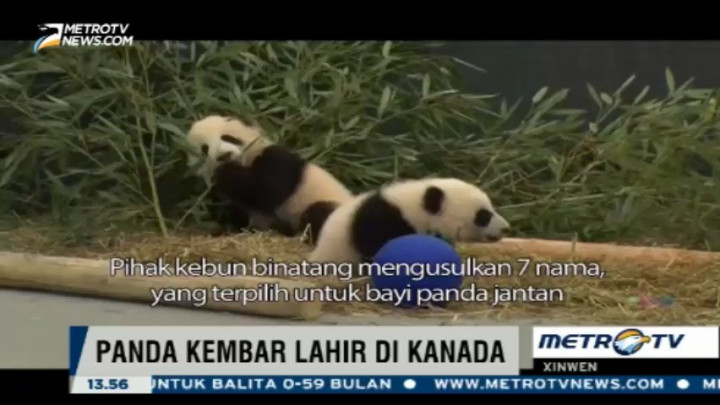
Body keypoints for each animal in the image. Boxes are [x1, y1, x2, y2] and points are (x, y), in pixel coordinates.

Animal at [186, 115, 354, 243]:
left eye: (228, 137)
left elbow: (267, 189)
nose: (224, 155)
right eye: (205, 148)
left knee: (320, 214)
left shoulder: (274, 159)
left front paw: (227, 171)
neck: (246, 161)